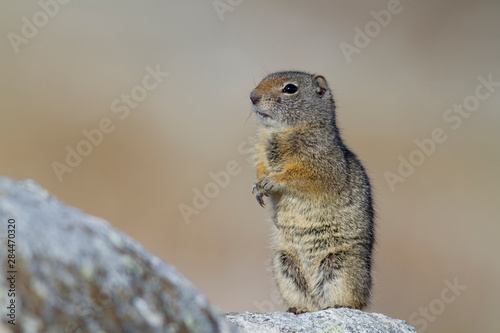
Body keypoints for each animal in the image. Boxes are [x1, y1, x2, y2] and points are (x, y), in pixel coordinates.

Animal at [250, 71, 376, 312]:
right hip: (284, 264)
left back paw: (337, 305)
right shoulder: (261, 151)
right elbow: (260, 168)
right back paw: (298, 309)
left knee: (352, 300)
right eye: (262, 80)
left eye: (290, 88)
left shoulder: (318, 162)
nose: (253, 96)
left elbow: (300, 176)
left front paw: (272, 181)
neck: (282, 132)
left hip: (341, 265)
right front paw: (257, 187)